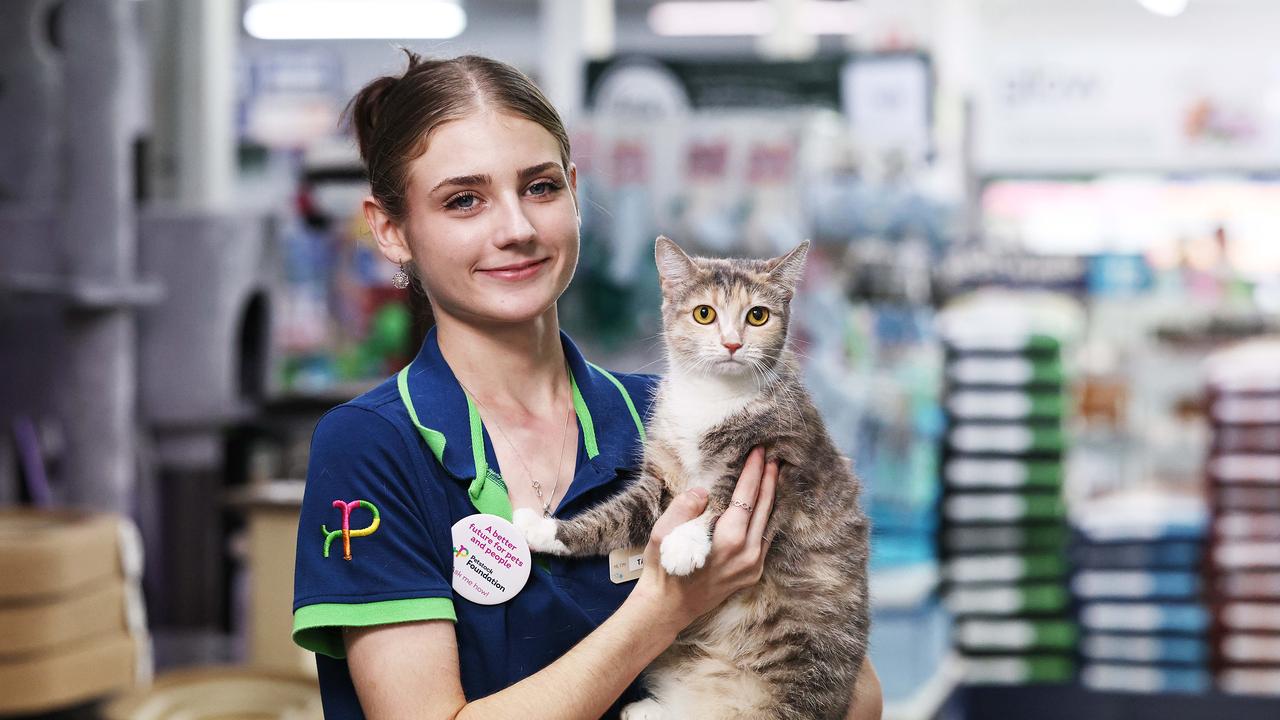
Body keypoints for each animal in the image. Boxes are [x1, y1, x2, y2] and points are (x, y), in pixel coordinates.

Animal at [517, 235, 870, 717]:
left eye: (757, 315)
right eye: (705, 313)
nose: (732, 343)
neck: (712, 398)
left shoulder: (784, 461)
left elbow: (724, 497)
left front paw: (685, 541)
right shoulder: (660, 479)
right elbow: (615, 515)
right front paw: (545, 529)